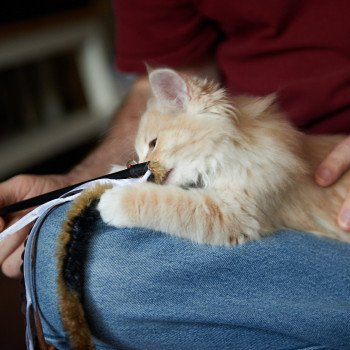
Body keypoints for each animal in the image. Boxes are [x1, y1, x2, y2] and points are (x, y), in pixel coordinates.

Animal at [97, 67, 350, 243]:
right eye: (139, 154)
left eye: (153, 143)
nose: (140, 165)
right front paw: (117, 173)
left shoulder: (235, 213)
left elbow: (168, 202)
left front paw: (115, 200)